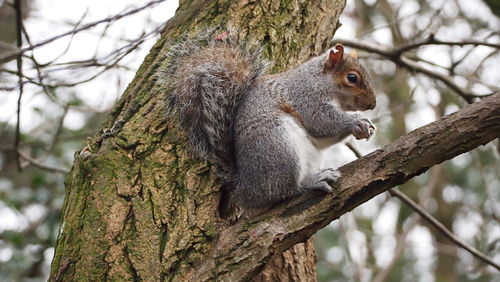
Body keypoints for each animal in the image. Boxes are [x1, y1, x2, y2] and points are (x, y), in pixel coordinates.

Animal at [167, 32, 376, 209]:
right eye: (352, 77)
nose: (372, 104)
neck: (319, 79)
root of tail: (247, 189)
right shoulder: (306, 97)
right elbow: (320, 121)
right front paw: (356, 121)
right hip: (277, 145)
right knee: (282, 191)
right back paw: (310, 183)